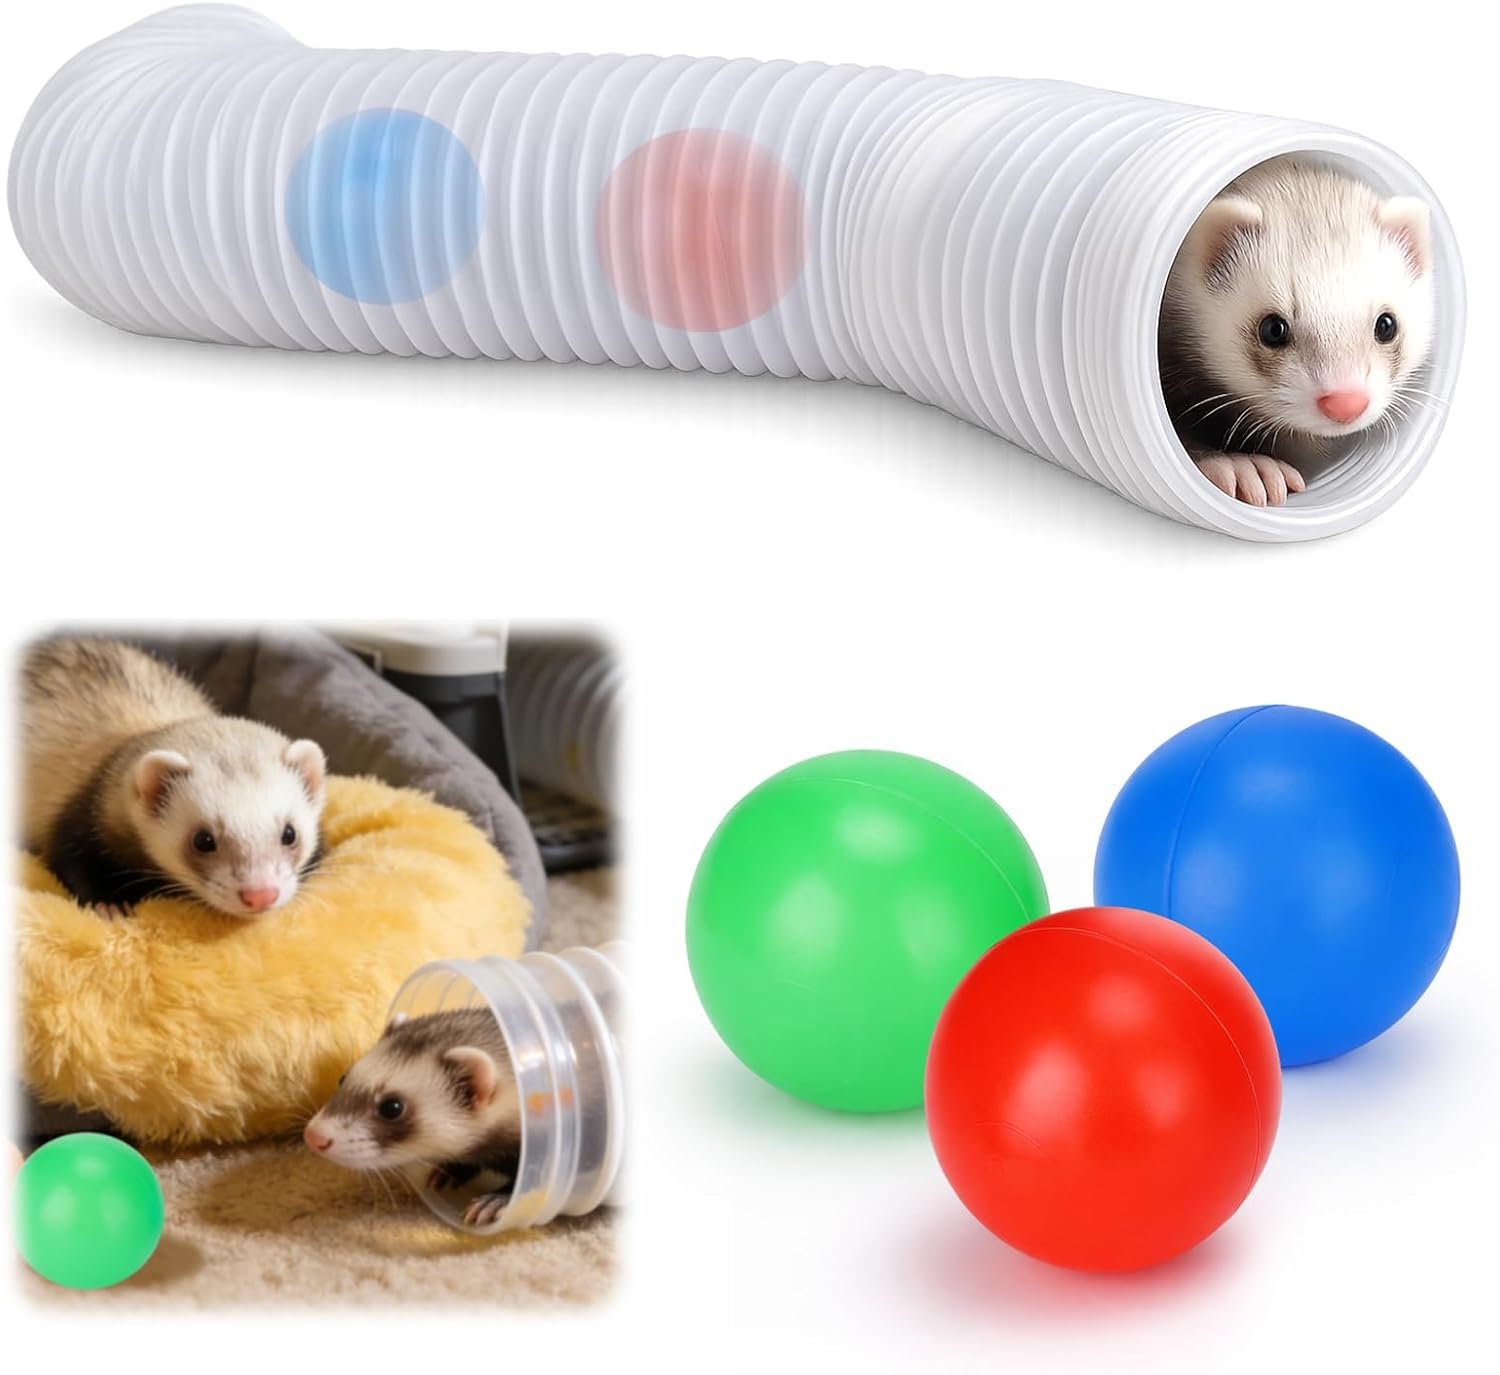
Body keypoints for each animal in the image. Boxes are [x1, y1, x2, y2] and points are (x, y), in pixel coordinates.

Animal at [20, 636, 327, 917]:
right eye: (202, 840)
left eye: (290, 833)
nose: (260, 894)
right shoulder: (77, 823)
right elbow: (71, 863)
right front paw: (109, 905)